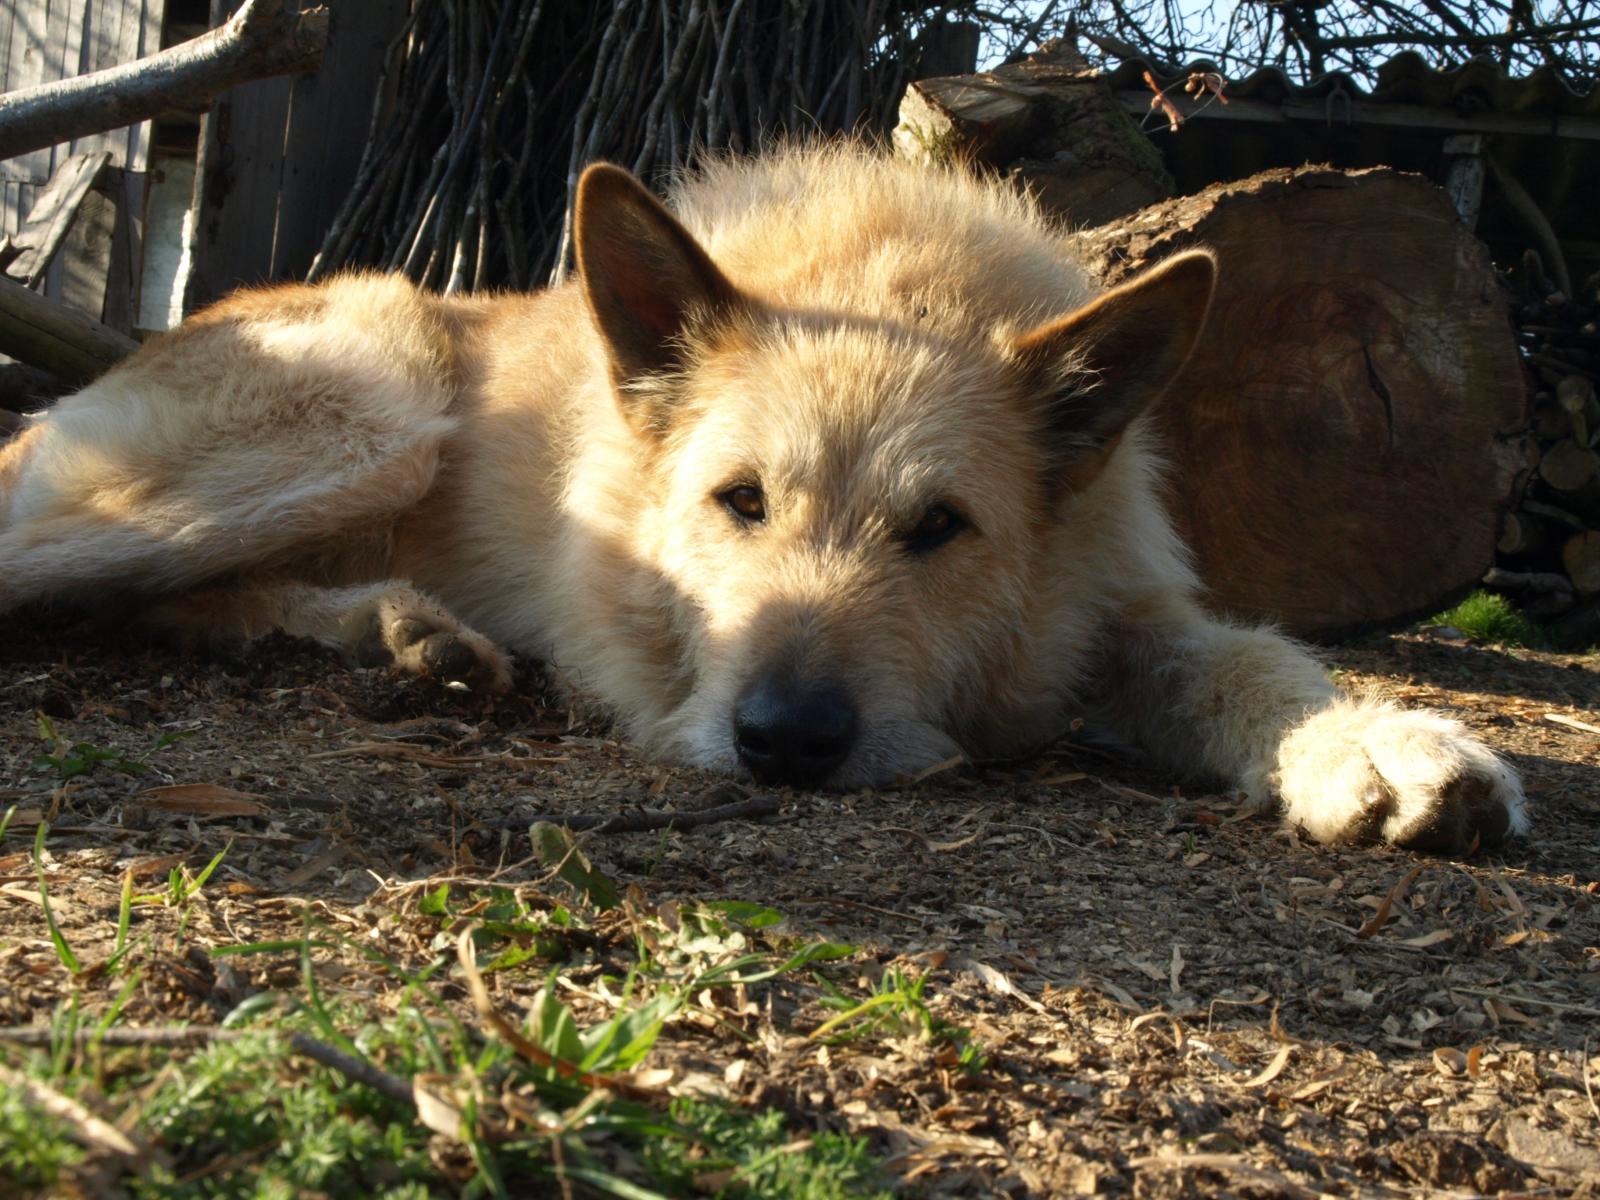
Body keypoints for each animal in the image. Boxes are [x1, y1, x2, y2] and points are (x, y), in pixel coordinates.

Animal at [3, 143, 1523, 857]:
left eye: (939, 530)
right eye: (738, 501)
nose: (787, 740)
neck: (889, 274)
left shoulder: (1112, 607)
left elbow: (1251, 658)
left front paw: (1372, 742)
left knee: (180, 603)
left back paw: (400, 632)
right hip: (378, 396)